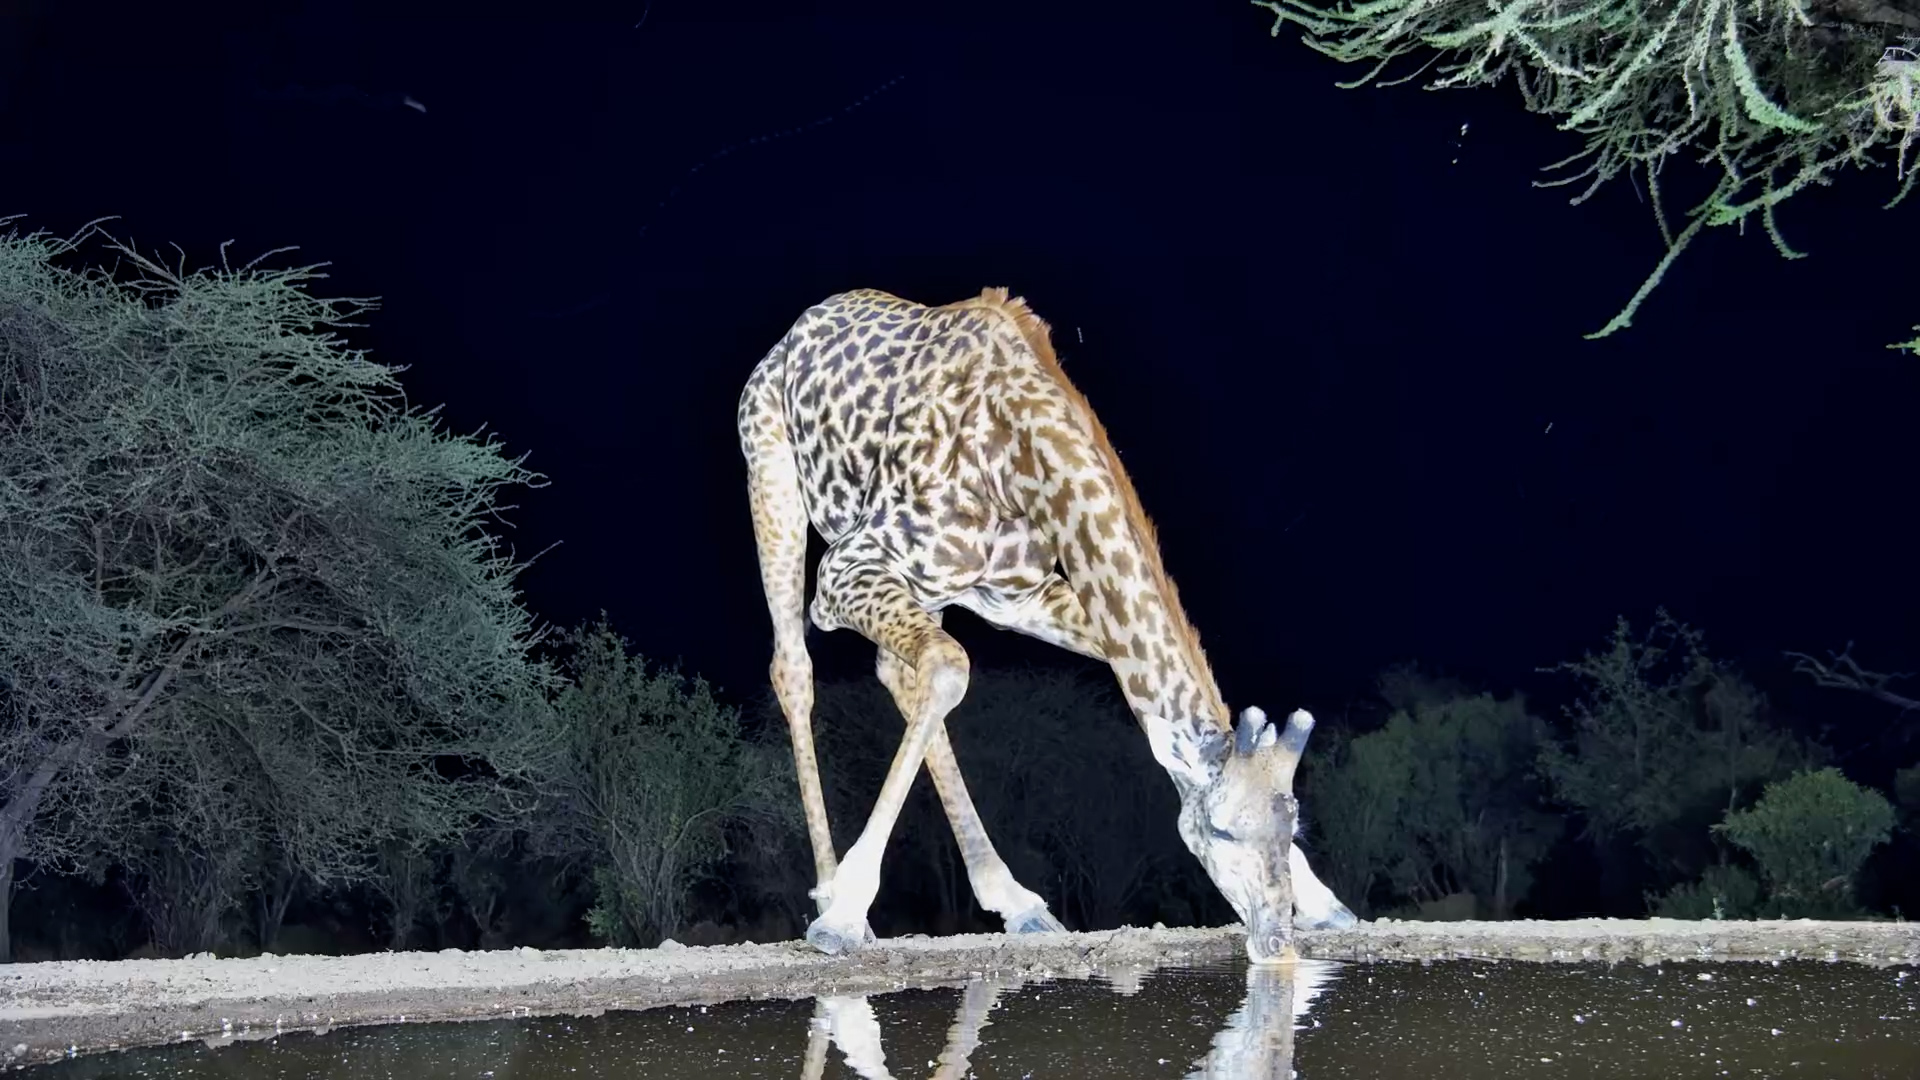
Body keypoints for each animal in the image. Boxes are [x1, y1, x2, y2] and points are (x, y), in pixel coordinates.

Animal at [737, 286, 1356, 963]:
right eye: (1219, 830)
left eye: (1293, 823)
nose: (1276, 942)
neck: (1014, 458)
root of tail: (798, 328)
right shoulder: (844, 569)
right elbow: (950, 667)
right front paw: (845, 913)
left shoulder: (1019, 596)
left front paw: (1326, 904)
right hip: (773, 477)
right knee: (795, 668)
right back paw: (830, 892)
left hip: (933, 588)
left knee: (900, 674)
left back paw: (1018, 902)